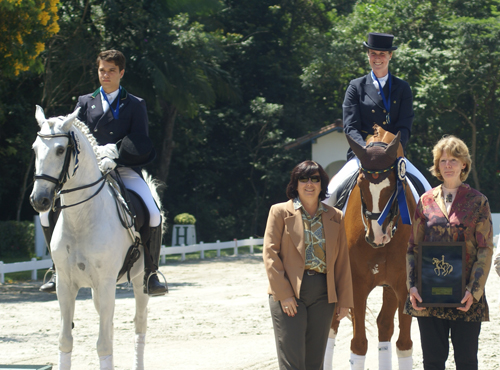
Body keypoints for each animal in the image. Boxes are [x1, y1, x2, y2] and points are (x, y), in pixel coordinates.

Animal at [30, 105, 160, 368]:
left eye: (60, 150)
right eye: (35, 149)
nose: (40, 200)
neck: (81, 219)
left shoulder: (106, 282)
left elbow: (103, 345)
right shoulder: (65, 285)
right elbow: (65, 340)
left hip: (139, 282)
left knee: (139, 325)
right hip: (95, 292)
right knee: (109, 325)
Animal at [324, 125, 414, 368]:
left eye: (393, 186)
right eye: (361, 183)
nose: (377, 236)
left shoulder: (404, 287)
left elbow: (404, 344)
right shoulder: (356, 285)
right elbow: (358, 345)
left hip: (389, 287)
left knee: (384, 325)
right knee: (331, 327)